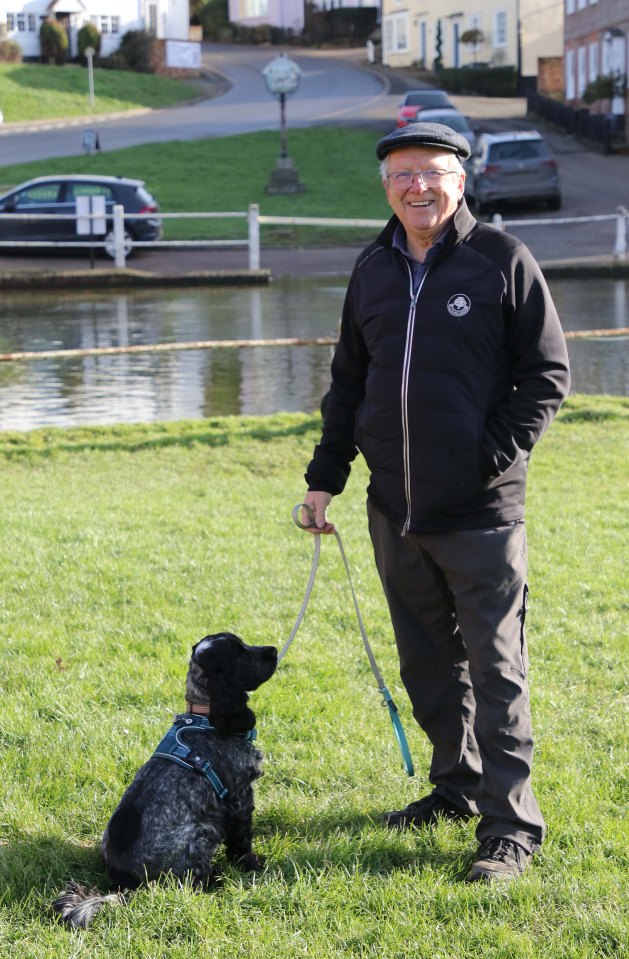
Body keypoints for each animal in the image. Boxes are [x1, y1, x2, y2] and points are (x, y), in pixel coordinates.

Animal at [52, 632, 278, 928]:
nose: (274, 651)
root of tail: (125, 882)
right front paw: (252, 865)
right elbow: (241, 840)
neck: (206, 718)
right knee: (192, 882)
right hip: (202, 832)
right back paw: (217, 879)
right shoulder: (239, 797)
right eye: (239, 652)